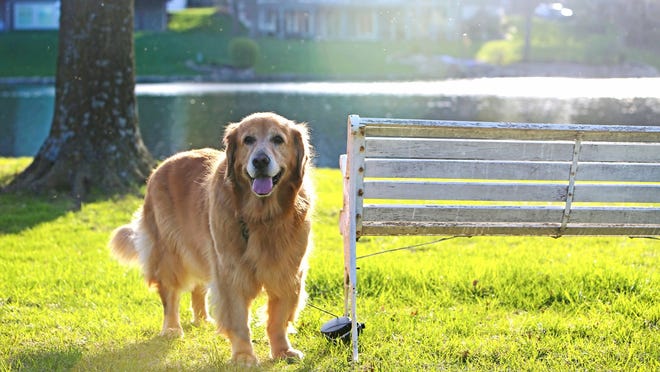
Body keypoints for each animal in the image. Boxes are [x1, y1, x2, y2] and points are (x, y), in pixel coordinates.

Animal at [109, 111, 314, 364]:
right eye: (248, 140)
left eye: (278, 139)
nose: (260, 161)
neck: (262, 217)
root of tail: (161, 166)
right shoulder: (230, 271)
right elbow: (238, 319)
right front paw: (244, 355)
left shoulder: (288, 272)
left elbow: (278, 319)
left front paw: (282, 351)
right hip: (169, 254)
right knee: (170, 296)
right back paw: (172, 328)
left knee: (198, 287)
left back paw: (202, 319)